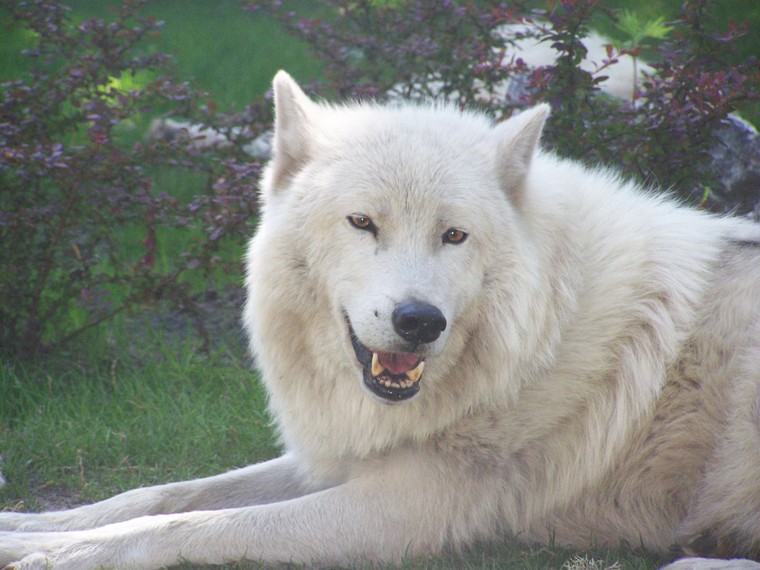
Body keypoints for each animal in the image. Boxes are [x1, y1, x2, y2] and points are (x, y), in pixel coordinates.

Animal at [2, 71, 760, 569]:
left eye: (454, 236)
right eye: (363, 223)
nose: (419, 320)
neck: (540, 338)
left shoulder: (400, 510)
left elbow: (195, 526)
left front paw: (52, 554)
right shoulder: (343, 458)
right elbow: (162, 492)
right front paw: (26, 526)